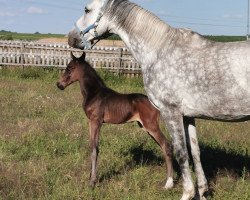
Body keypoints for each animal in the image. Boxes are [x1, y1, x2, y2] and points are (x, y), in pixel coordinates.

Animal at [56, 52, 174, 189]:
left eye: (70, 68)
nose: (59, 85)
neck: (94, 93)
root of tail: (157, 104)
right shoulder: (91, 122)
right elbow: (93, 147)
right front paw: (90, 177)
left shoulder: (96, 122)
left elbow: (95, 149)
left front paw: (92, 182)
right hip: (146, 127)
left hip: (151, 126)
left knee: (167, 146)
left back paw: (168, 183)